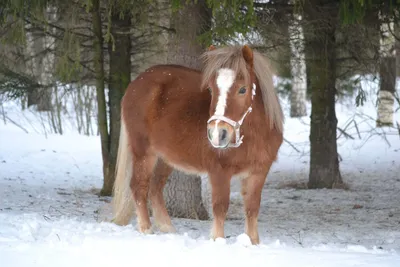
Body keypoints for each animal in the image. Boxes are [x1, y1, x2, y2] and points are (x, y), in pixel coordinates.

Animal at [111, 45, 282, 246]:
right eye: (210, 89)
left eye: (243, 89)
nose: (217, 134)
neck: (253, 136)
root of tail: (136, 83)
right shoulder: (219, 171)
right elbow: (220, 206)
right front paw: (218, 240)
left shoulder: (259, 172)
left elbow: (252, 208)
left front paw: (253, 242)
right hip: (144, 153)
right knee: (139, 186)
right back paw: (146, 229)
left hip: (165, 158)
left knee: (155, 188)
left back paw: (168, 228)